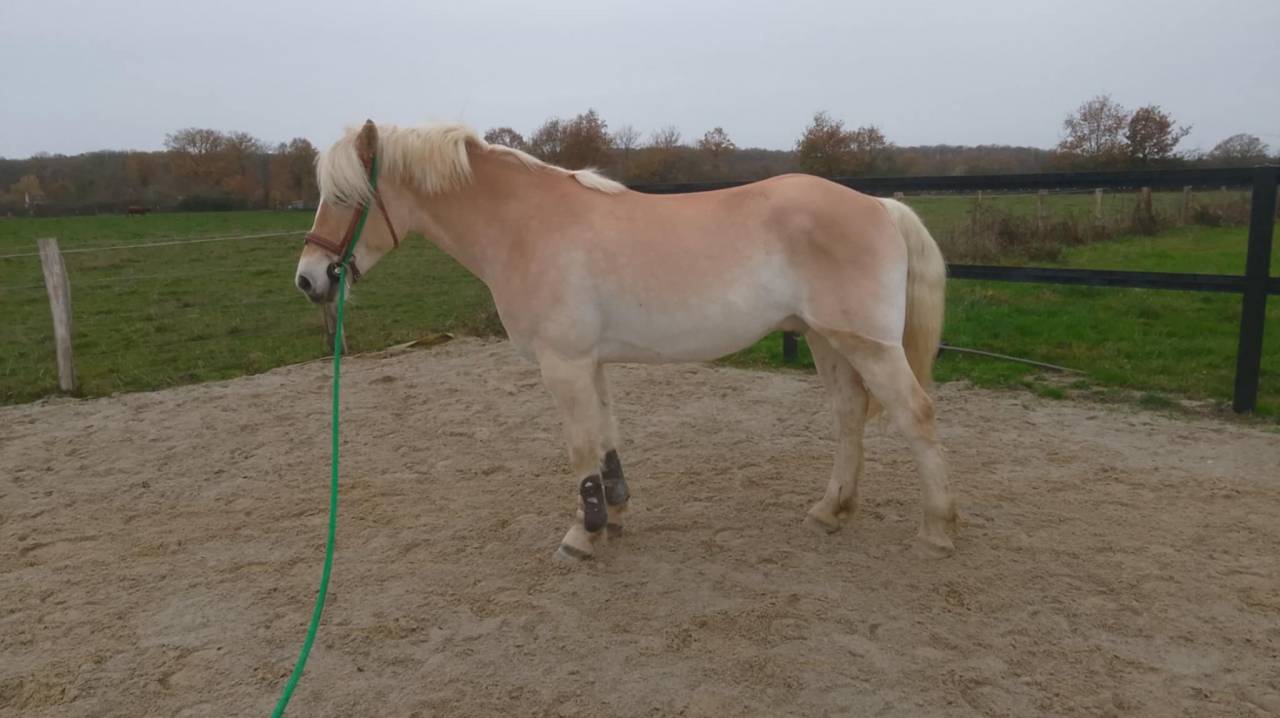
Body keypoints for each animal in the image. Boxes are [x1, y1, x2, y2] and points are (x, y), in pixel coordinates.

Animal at [295, 120, 956, 561]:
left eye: (347, 197)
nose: (309, 279)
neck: (526, 226)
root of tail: (880, 205)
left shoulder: (561, 364)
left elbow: (580, 449)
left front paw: (581, 536)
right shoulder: (589, 361)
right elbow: (606, 441)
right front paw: (611, 513)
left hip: (867, 344)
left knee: (916, 415)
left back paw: (937, 528)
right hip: (826, 339)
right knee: (849, 416)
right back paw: (831, 511)